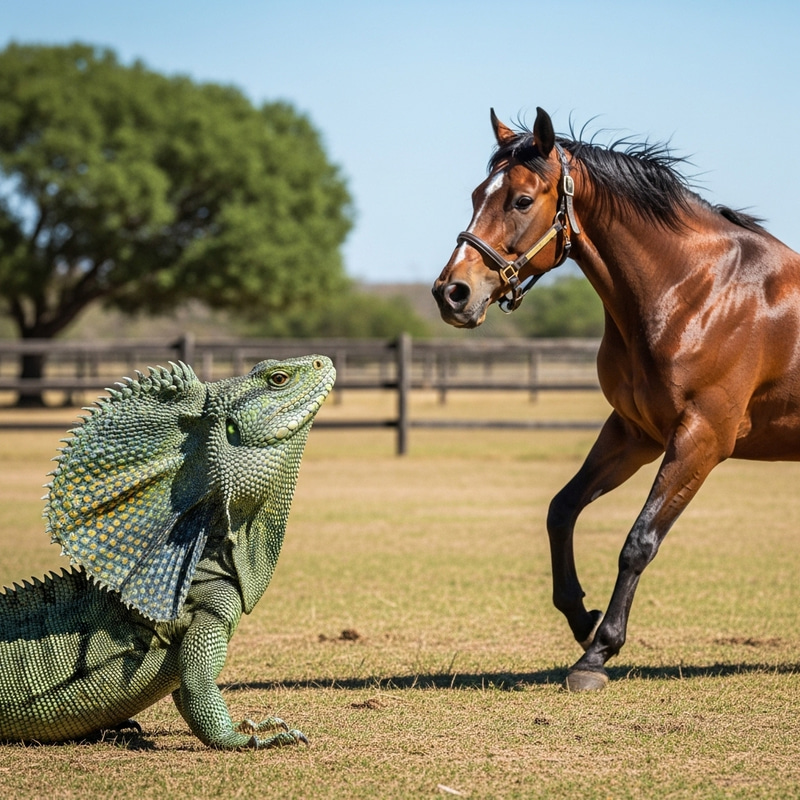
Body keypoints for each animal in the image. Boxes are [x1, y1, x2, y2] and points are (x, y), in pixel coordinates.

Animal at [432, 106, 800, 691]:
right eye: (475, 195)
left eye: (521, 200)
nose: (452, 293)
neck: (695, 291)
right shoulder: (634, 434)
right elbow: (562, 509)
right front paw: (581, 618)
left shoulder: (701, 438)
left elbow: (639, 541)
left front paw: (598, 652)